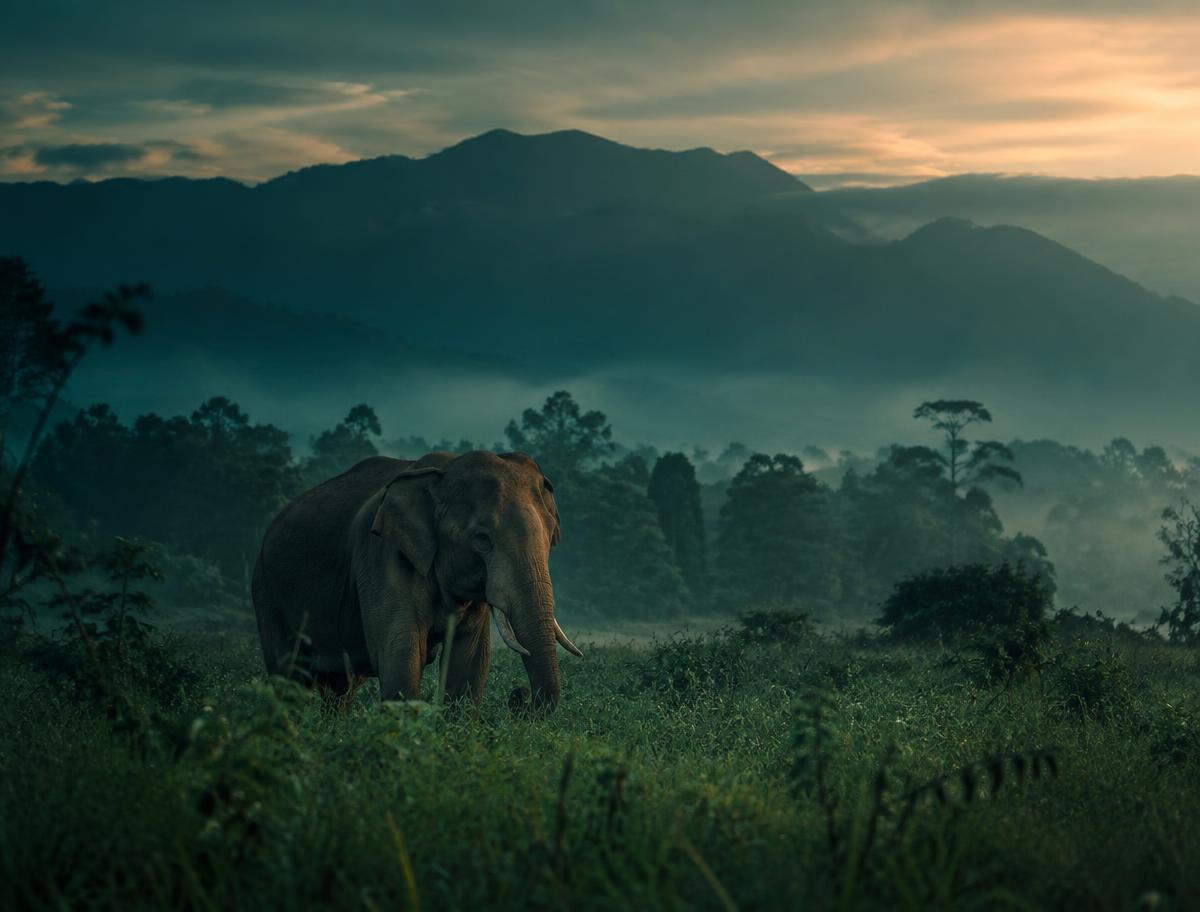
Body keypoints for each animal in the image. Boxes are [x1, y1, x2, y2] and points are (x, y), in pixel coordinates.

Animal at [252, 450, 581, 711]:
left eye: (550, 538)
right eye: (482, 539)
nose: (519, 695)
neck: (443, 473)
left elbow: (469, 659)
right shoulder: (382, 557)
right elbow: (401, 652)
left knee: (339, 688)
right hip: (267, 591)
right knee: (288, 675)